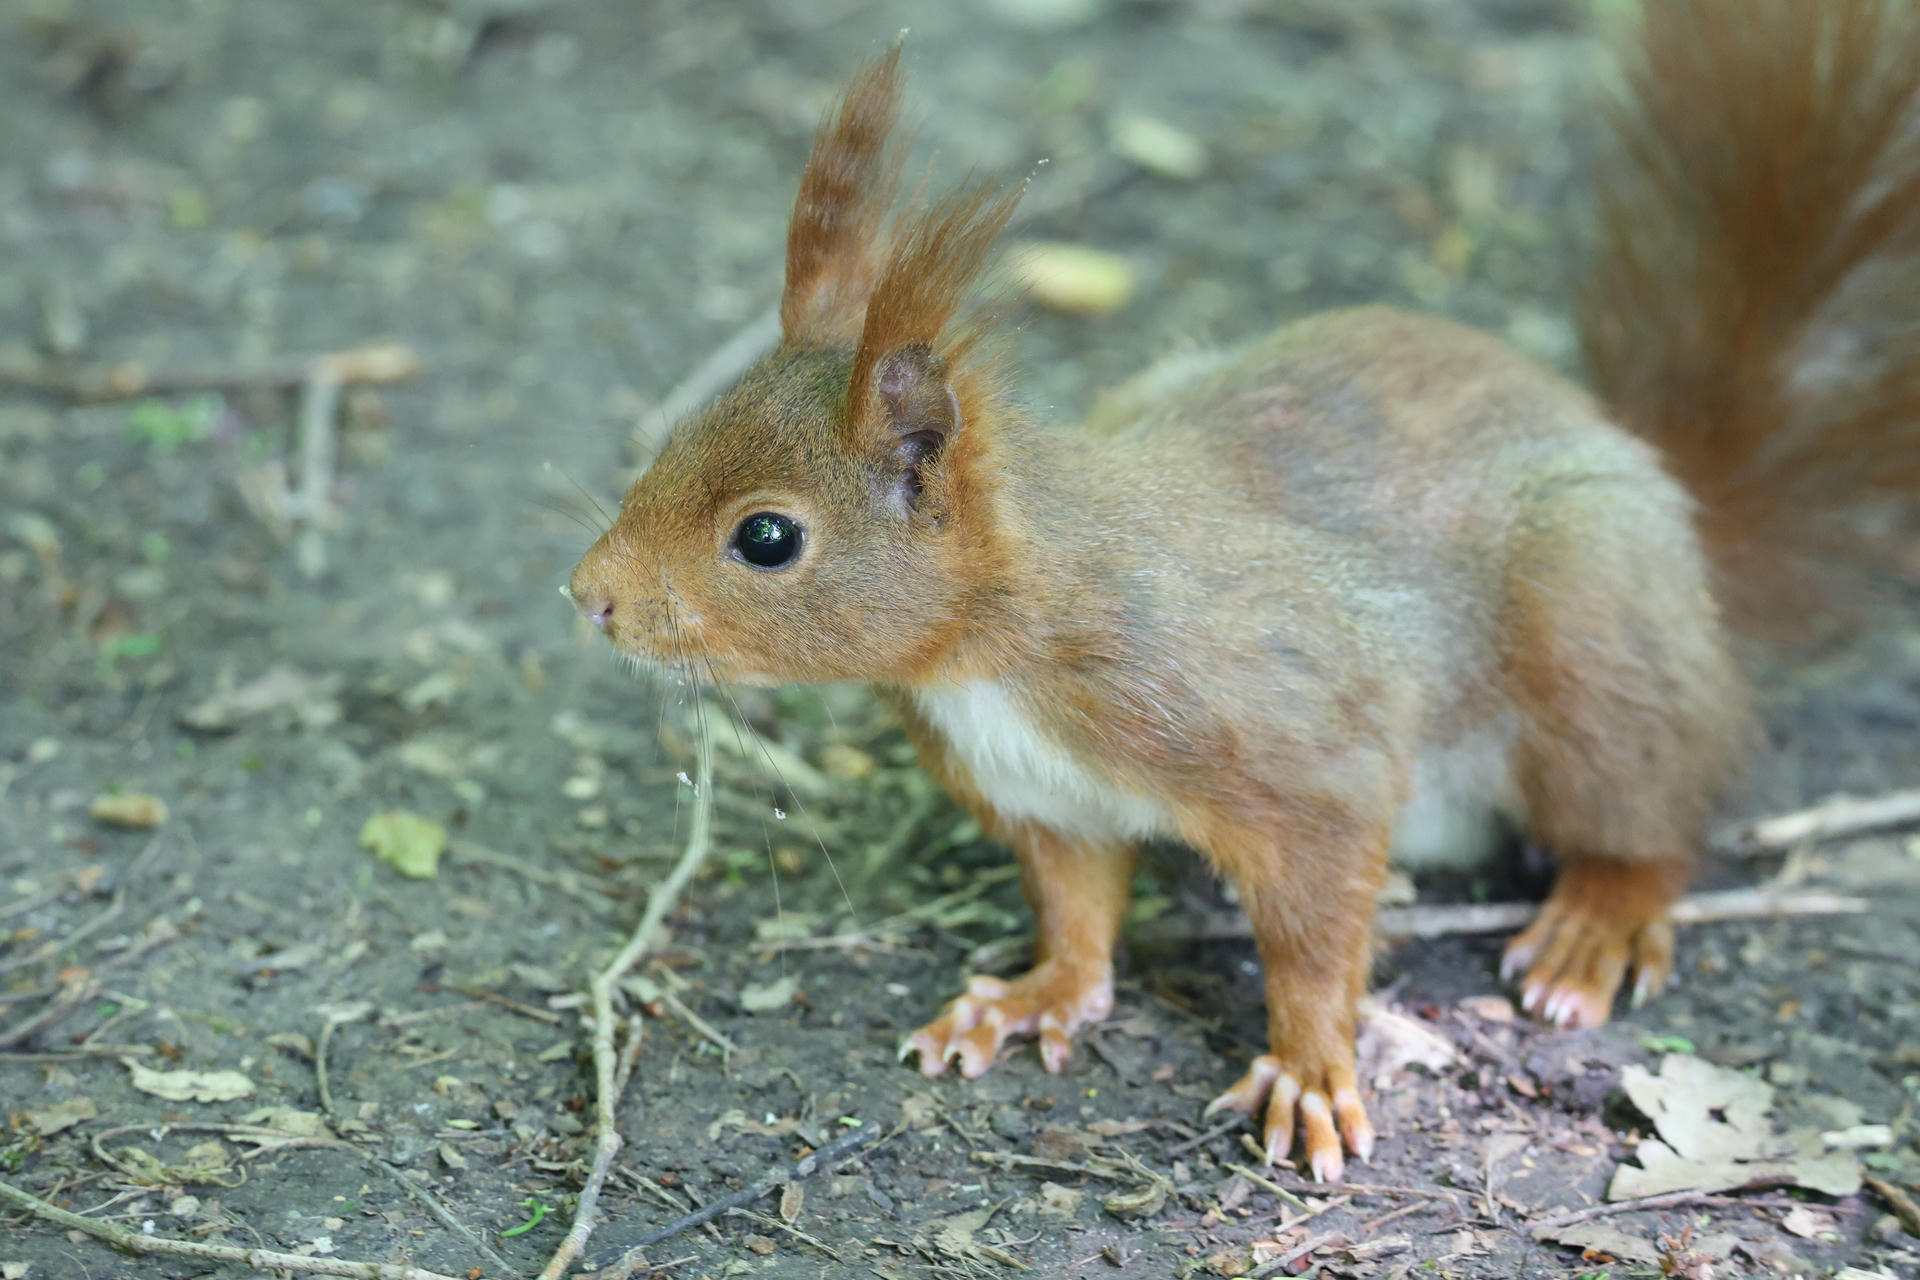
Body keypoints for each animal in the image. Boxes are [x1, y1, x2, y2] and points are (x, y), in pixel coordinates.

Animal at [567, 0, 1920, 1182]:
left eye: (768, 536)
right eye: (677, 435)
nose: (587, 597)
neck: (992, 647)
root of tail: (1669, 495)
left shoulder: (1290, 739)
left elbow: (1317, 923)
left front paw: (1313, 1067)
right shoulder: (1045, 793)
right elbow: (1077, 907)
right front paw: (1034, 994)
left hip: (1592, 637)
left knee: (1658, 796)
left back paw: (1600, 917)